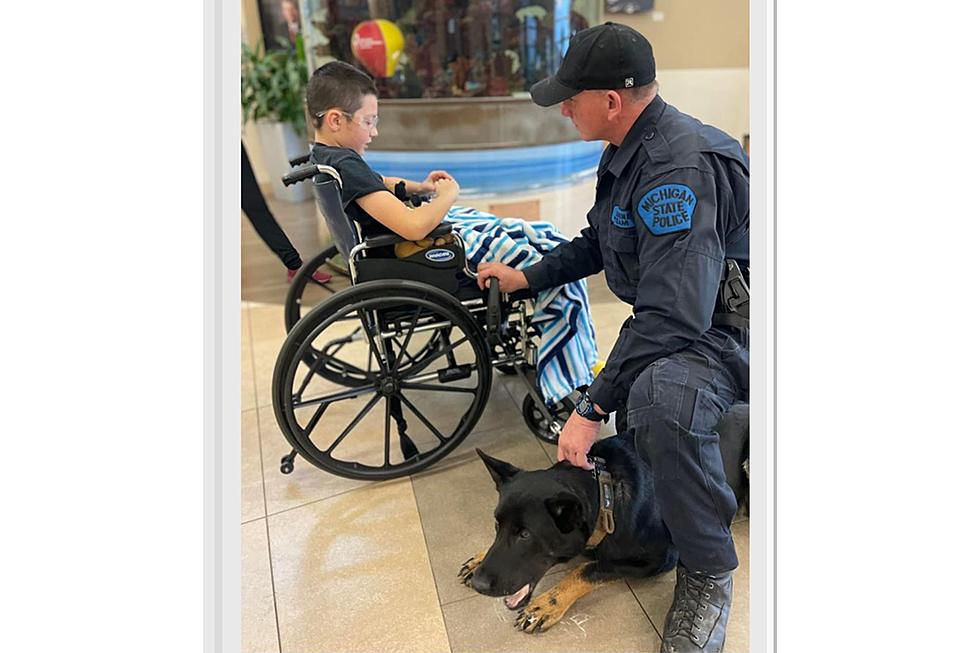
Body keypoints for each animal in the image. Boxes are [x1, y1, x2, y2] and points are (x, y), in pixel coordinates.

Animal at [456, 408, 748, 632]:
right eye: (497, 525)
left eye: (525, 534)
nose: (480, 585)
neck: (606, 495)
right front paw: (481, 556)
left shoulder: (657, 560)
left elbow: (587, 568)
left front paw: (550, 603)